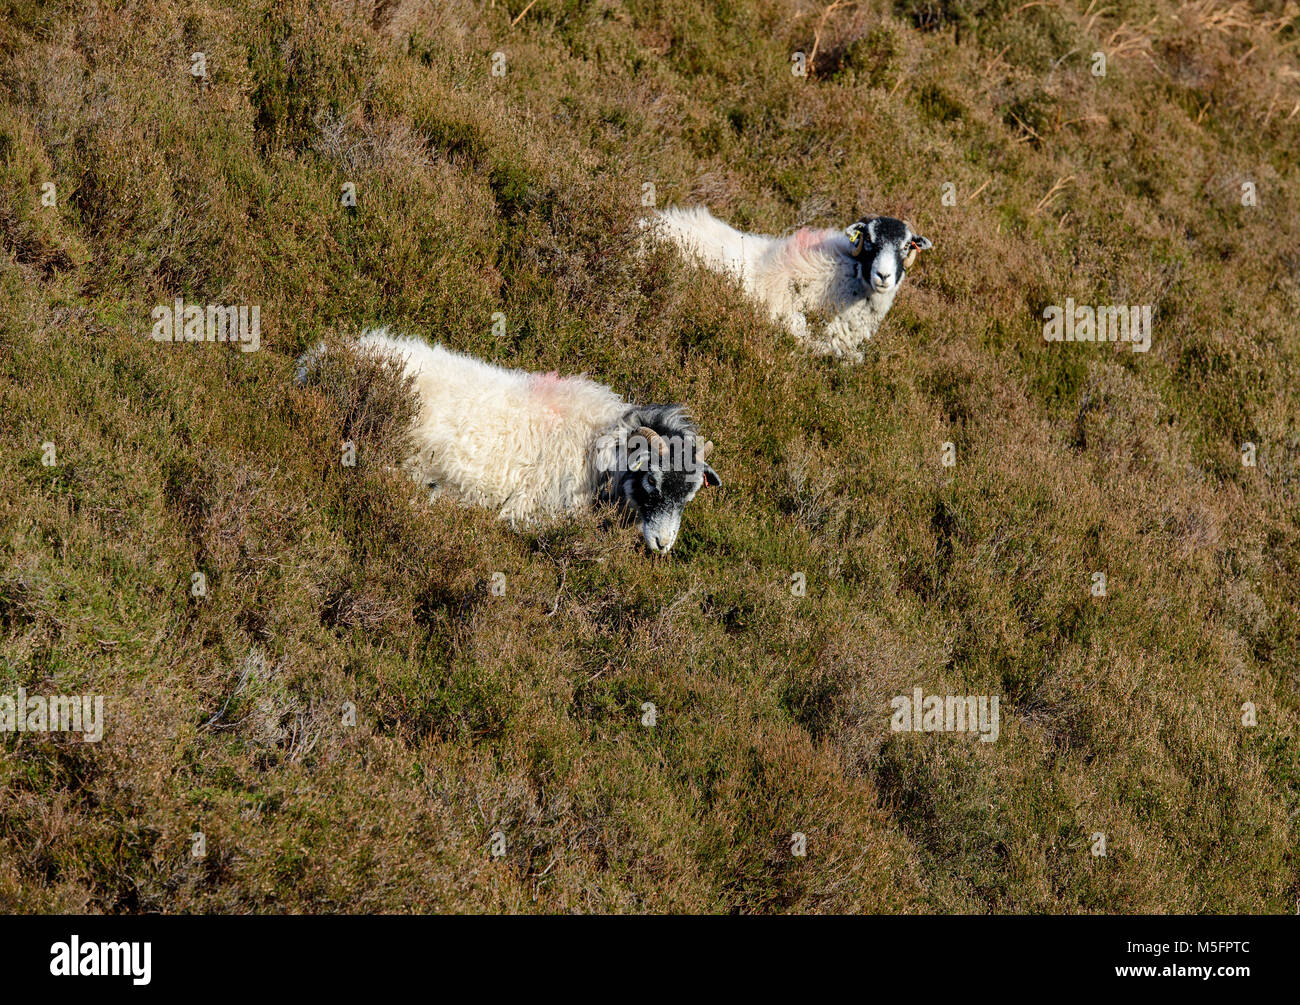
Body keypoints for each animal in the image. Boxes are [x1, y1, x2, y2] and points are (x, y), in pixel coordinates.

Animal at [297, 328, 722, 553]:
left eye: (689, 496)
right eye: (651, 480)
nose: (663, 545)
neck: (597, 444)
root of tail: (317, 359)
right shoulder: (532, 513)